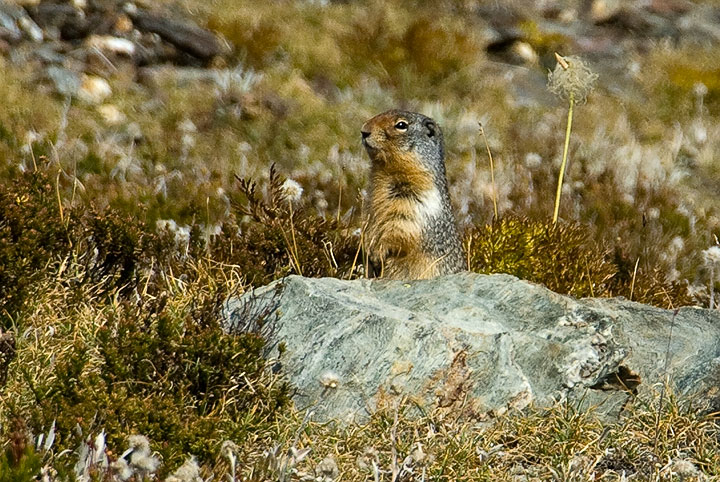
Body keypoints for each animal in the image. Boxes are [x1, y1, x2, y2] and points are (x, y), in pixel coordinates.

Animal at [360, 108, 466, 278]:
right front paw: (368, 247)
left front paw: (378, 253)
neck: (386, 172)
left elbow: (400, 228)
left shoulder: (415, 202)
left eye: (401, 125)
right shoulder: (371, 204)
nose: (364, 131)